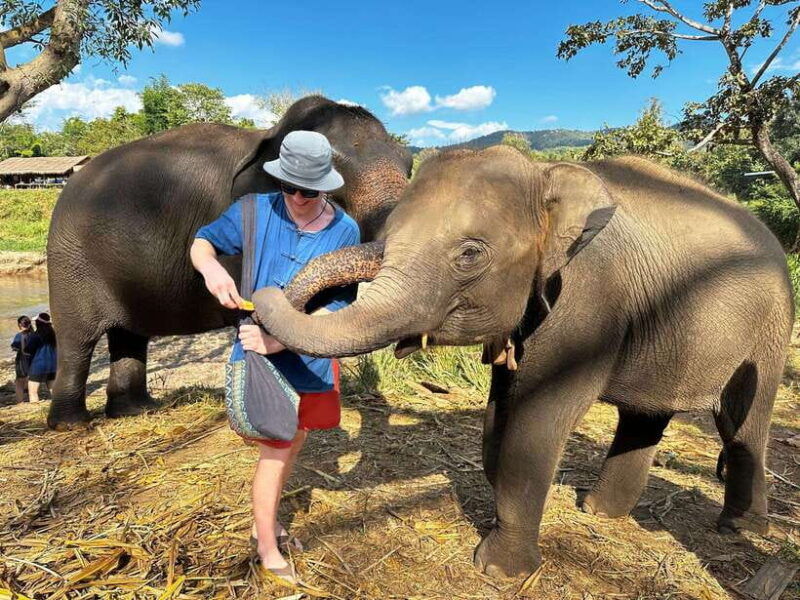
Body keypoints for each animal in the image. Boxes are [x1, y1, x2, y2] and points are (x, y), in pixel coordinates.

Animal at [46, 95, 412, 430]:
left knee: (130, 335)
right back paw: (71, 424)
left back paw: (135, 411)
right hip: (70, 262)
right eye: (335, 178)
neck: (269, 134)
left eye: (408, 163)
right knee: (77, 340)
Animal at [251, 146, 794, 578]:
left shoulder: (588, 301)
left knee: (743, 422)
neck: (545, 176)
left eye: (470, 254)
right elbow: (499, 414)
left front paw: (499, 571)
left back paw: (738, 527)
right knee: (644, 416)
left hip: (771, 330)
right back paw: (599, 512)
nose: (257, 298)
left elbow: (536, 423)